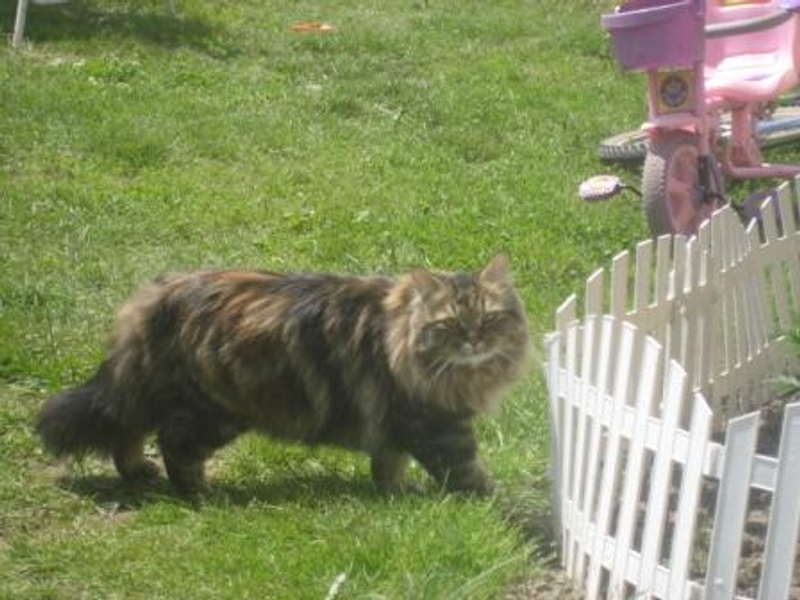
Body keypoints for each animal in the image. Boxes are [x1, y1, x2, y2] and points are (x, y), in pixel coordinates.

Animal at [36, 254, 530, 496]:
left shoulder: (393, 428)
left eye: (489, 319)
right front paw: (497, 504)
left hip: (156, 394)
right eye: (449, 325)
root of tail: (157, 295)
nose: (473, 341)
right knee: (172, 443)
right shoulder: (436, 425)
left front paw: (397, 495)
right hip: (216, 410)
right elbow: (469, 474)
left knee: (128, 431)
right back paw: (201, 494)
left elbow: (389, 467)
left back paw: (139, 472)